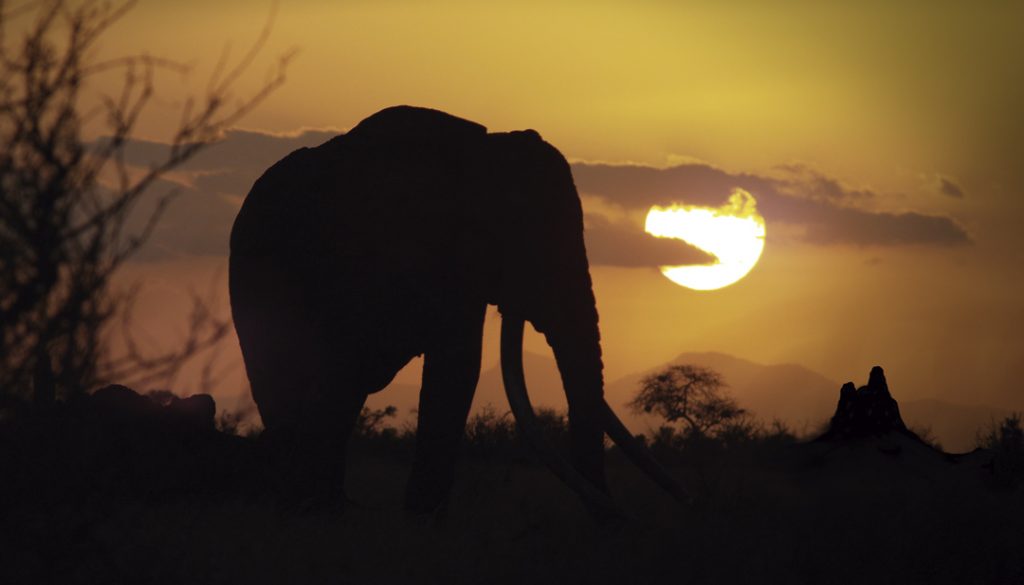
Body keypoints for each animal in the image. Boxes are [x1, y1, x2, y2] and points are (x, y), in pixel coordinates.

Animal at [229, 105, 687, 519]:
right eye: (529, 240)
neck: (486, 151)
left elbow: (456, 366)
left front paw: (419, 518)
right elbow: (444, 363)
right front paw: (413, 519)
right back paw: (308, 504)